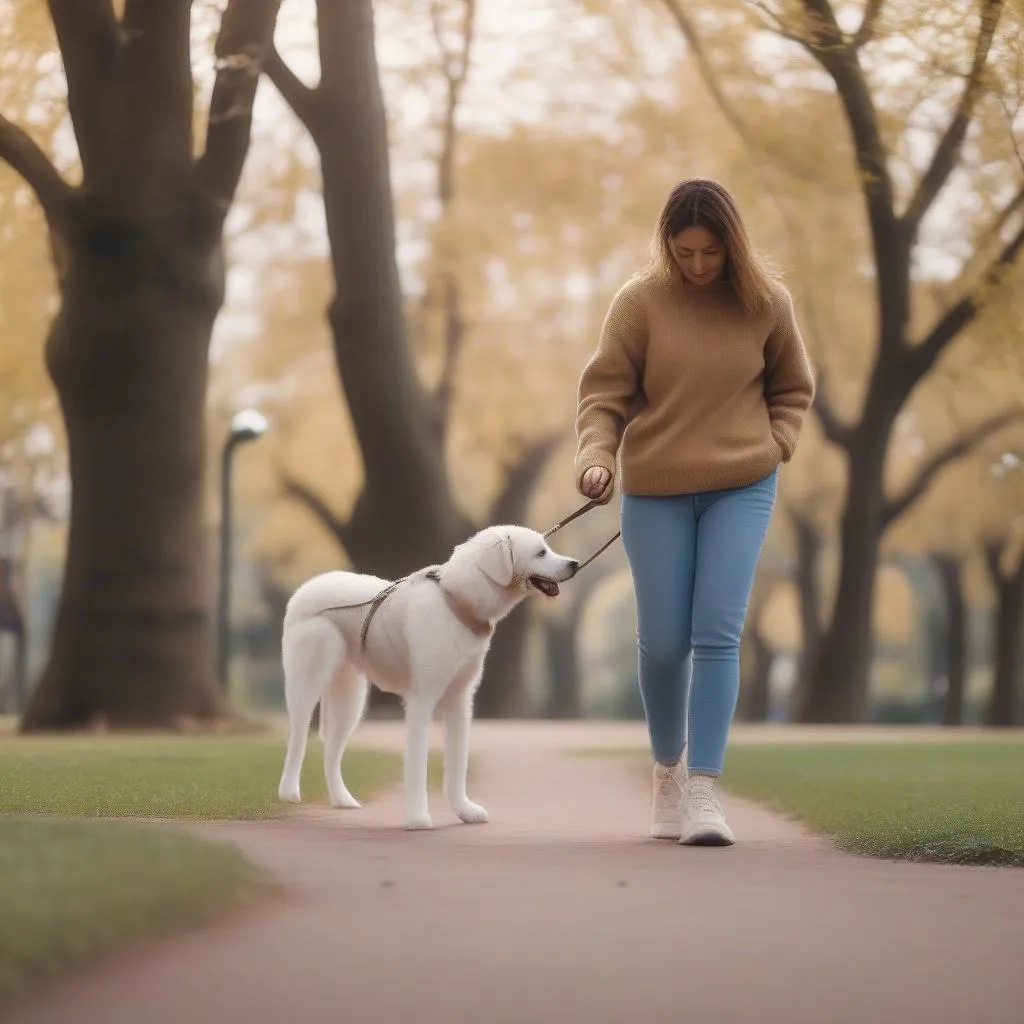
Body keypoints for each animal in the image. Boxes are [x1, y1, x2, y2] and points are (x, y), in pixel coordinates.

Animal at [276, 524, 581, 827]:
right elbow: (417, 764)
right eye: (541, 552)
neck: (456, 602)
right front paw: (418, 818)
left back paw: (343, 800)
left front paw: (465, 811)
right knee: (297, 738)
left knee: (331, 751)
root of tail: (305, 588)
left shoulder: (460, 700)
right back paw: (289, 793)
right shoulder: (422, 700)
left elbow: (458, 764)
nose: (575, 564)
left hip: (350, 698)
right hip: (307, 681)